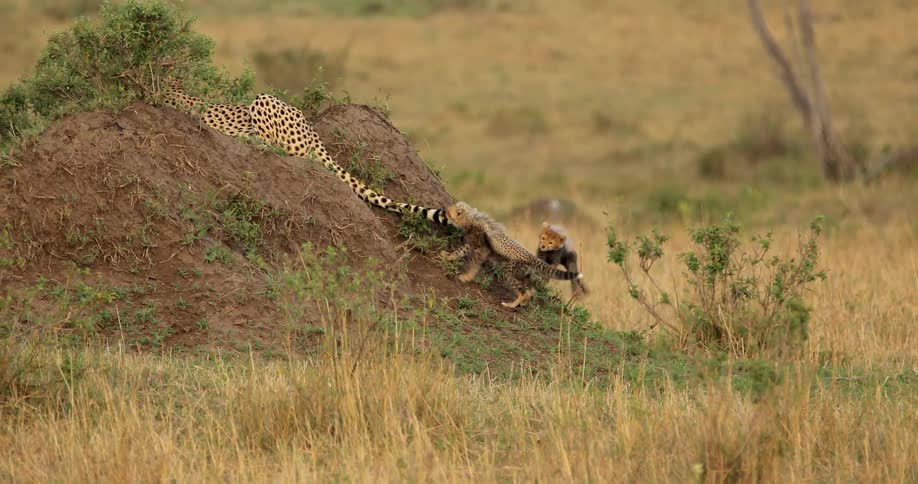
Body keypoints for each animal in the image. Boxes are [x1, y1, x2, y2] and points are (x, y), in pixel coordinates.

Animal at [440, 201, 583, 309]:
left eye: (454, 209)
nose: (446, 208)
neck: (472, 219)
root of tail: (531, 256)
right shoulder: (471, 244)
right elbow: (460, 251)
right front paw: (448, 256)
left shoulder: (483, 249)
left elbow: (474, 263)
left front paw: (466, 277)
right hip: (523, 274)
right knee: (529, 290)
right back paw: (524, 302)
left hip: (509, 271)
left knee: (523, 291)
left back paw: (511, 305)